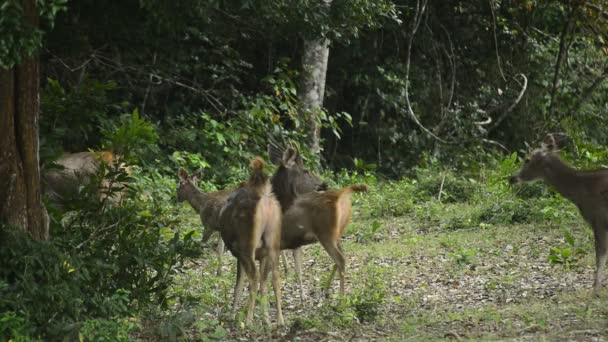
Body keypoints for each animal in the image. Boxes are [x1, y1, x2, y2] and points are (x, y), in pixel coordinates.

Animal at [218, 158, 284, 326]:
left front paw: (232, 315)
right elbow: (264, 283)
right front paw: (266, 318)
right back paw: (280, 320)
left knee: (253, 279)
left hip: (247, 245)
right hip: (273, 244)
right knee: (275, 277)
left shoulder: (239, 252)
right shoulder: (263, 254)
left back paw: (248, 320)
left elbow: (238, 284)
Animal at [508, 135, 608, 296]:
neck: (581, 189)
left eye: (527, 159)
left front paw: (595, 291)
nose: (511, 178)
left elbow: (600, 254)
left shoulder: (598, 218)